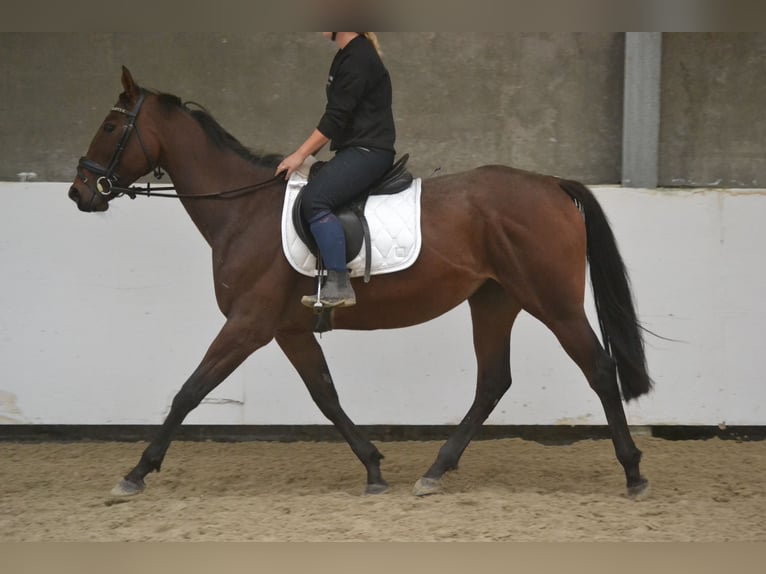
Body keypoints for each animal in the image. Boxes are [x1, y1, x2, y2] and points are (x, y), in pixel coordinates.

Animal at [69, 66, 656, 500]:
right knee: (493, 382)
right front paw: (373, 468)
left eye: (109, 127)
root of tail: (552, 184)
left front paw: (136, 473)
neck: (243, 211)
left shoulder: (249, 324)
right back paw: (435, 472)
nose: (80, 192)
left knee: (599, 370)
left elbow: (190, 391)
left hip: (554, 303)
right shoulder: (288, 329)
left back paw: (633, 472)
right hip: (494, 301)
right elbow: (325, 395)